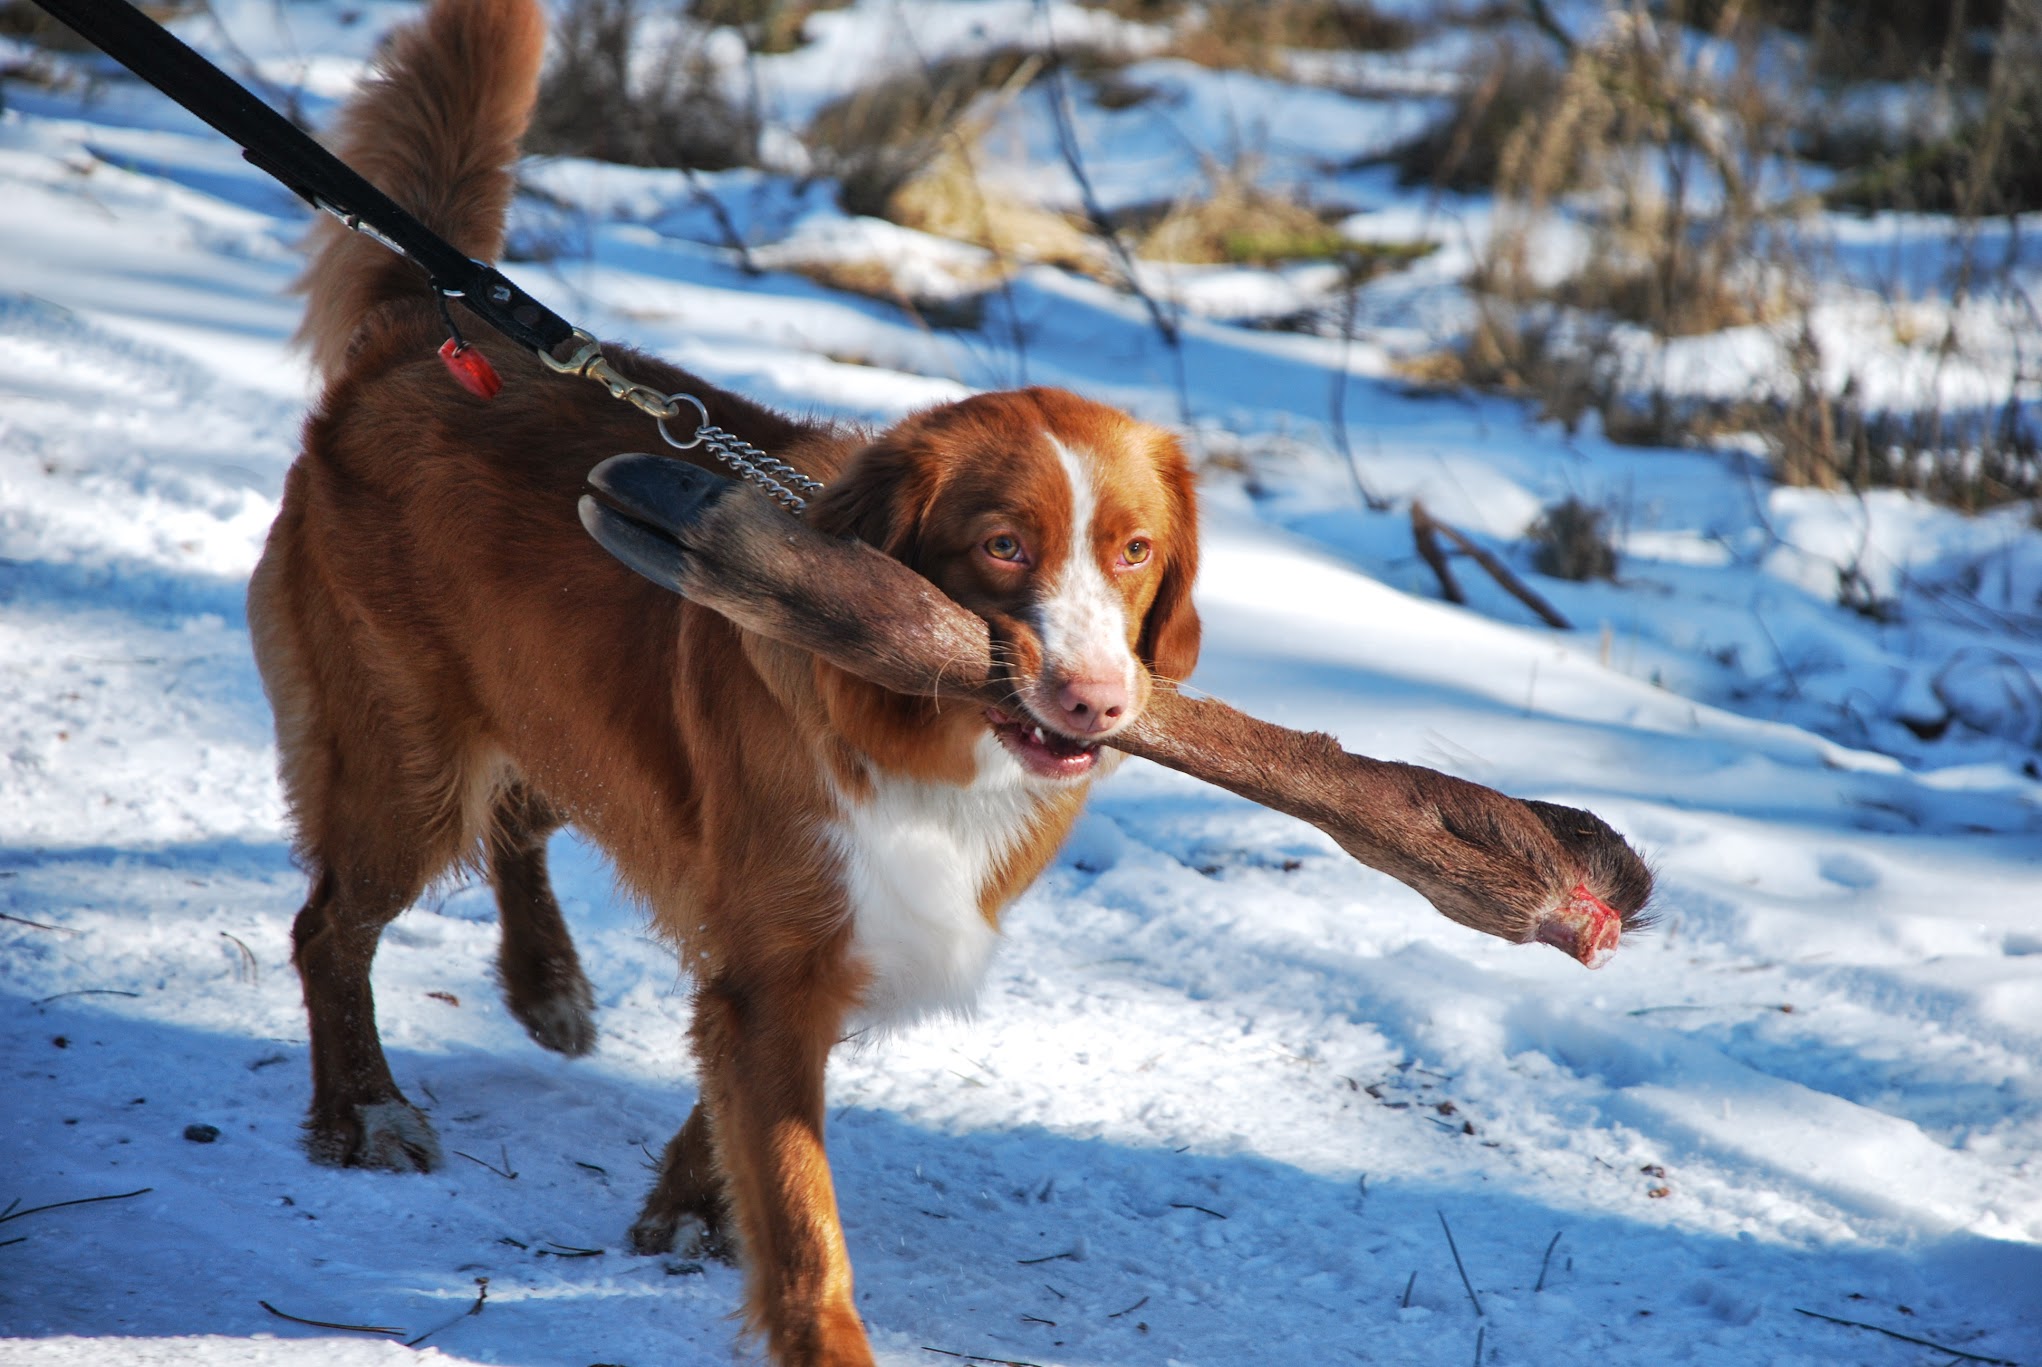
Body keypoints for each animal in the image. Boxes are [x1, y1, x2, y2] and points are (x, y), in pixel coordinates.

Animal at [249, 2, 1192, 1364]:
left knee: (520, 818)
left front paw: (689, 1205)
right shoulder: (780, 947)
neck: (925, 742)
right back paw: (365, 1111)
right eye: (1004, 546)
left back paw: (548, 985)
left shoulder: (826, 938)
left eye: (1134, 550)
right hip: (402, 757)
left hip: (551, 700)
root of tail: (426, 337)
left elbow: (746, 1109)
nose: (1096, 704)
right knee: (332, 924)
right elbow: (799, 1207)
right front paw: (810, 1318)